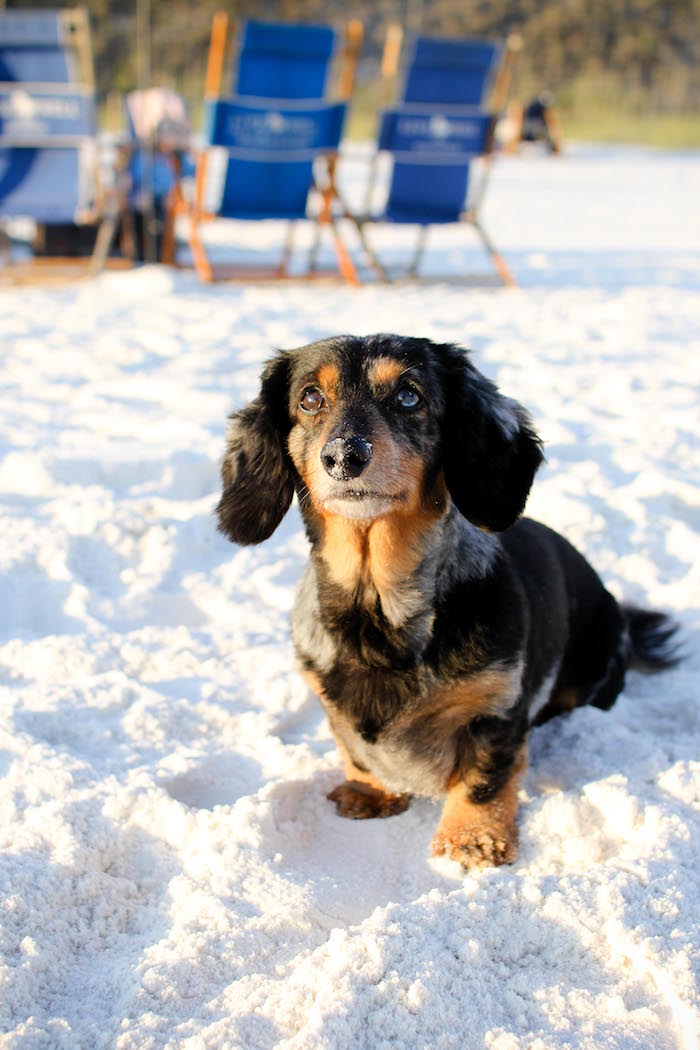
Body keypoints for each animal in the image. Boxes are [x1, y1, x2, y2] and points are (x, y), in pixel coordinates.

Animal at [217, 333, 680, 869]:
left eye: (409, 395)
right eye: (310, 398)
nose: (344, 455)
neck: (378, 610)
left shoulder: (496, 707)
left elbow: (484, 777)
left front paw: (472, 841)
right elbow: (354, 751)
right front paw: (370, 792)